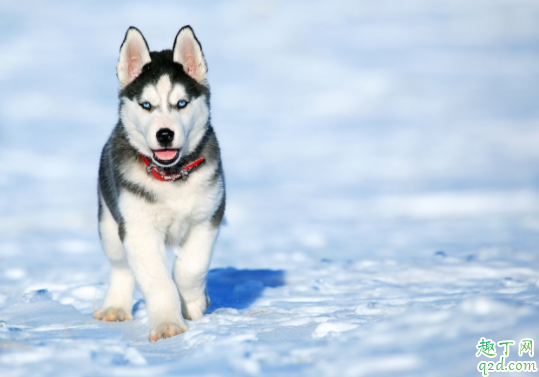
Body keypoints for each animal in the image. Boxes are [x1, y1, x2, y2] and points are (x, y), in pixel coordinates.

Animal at [94, 25, 225, 340]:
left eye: (181, 104)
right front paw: (168, 324)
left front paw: (193, 303)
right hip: (109, 223)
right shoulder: (138, 229)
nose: (164, 134)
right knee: (121, 267)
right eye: (146, 105)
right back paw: (115, 307)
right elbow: (157, 280)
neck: (171, 177)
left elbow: (191, 268)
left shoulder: (208, 217)